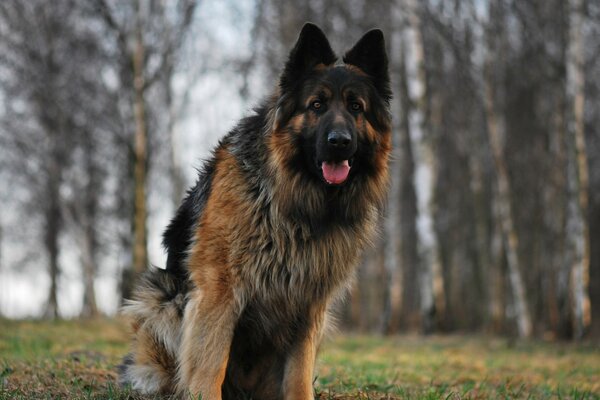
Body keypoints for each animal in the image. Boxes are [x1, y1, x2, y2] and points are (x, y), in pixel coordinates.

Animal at [119, 23, 392, 398]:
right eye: (317, 105)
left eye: (356, 107)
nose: (339, 142)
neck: (298, 204)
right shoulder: (219, 289)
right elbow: (210, 363)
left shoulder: (309, 303)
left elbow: (299, 373)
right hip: (160, 295)